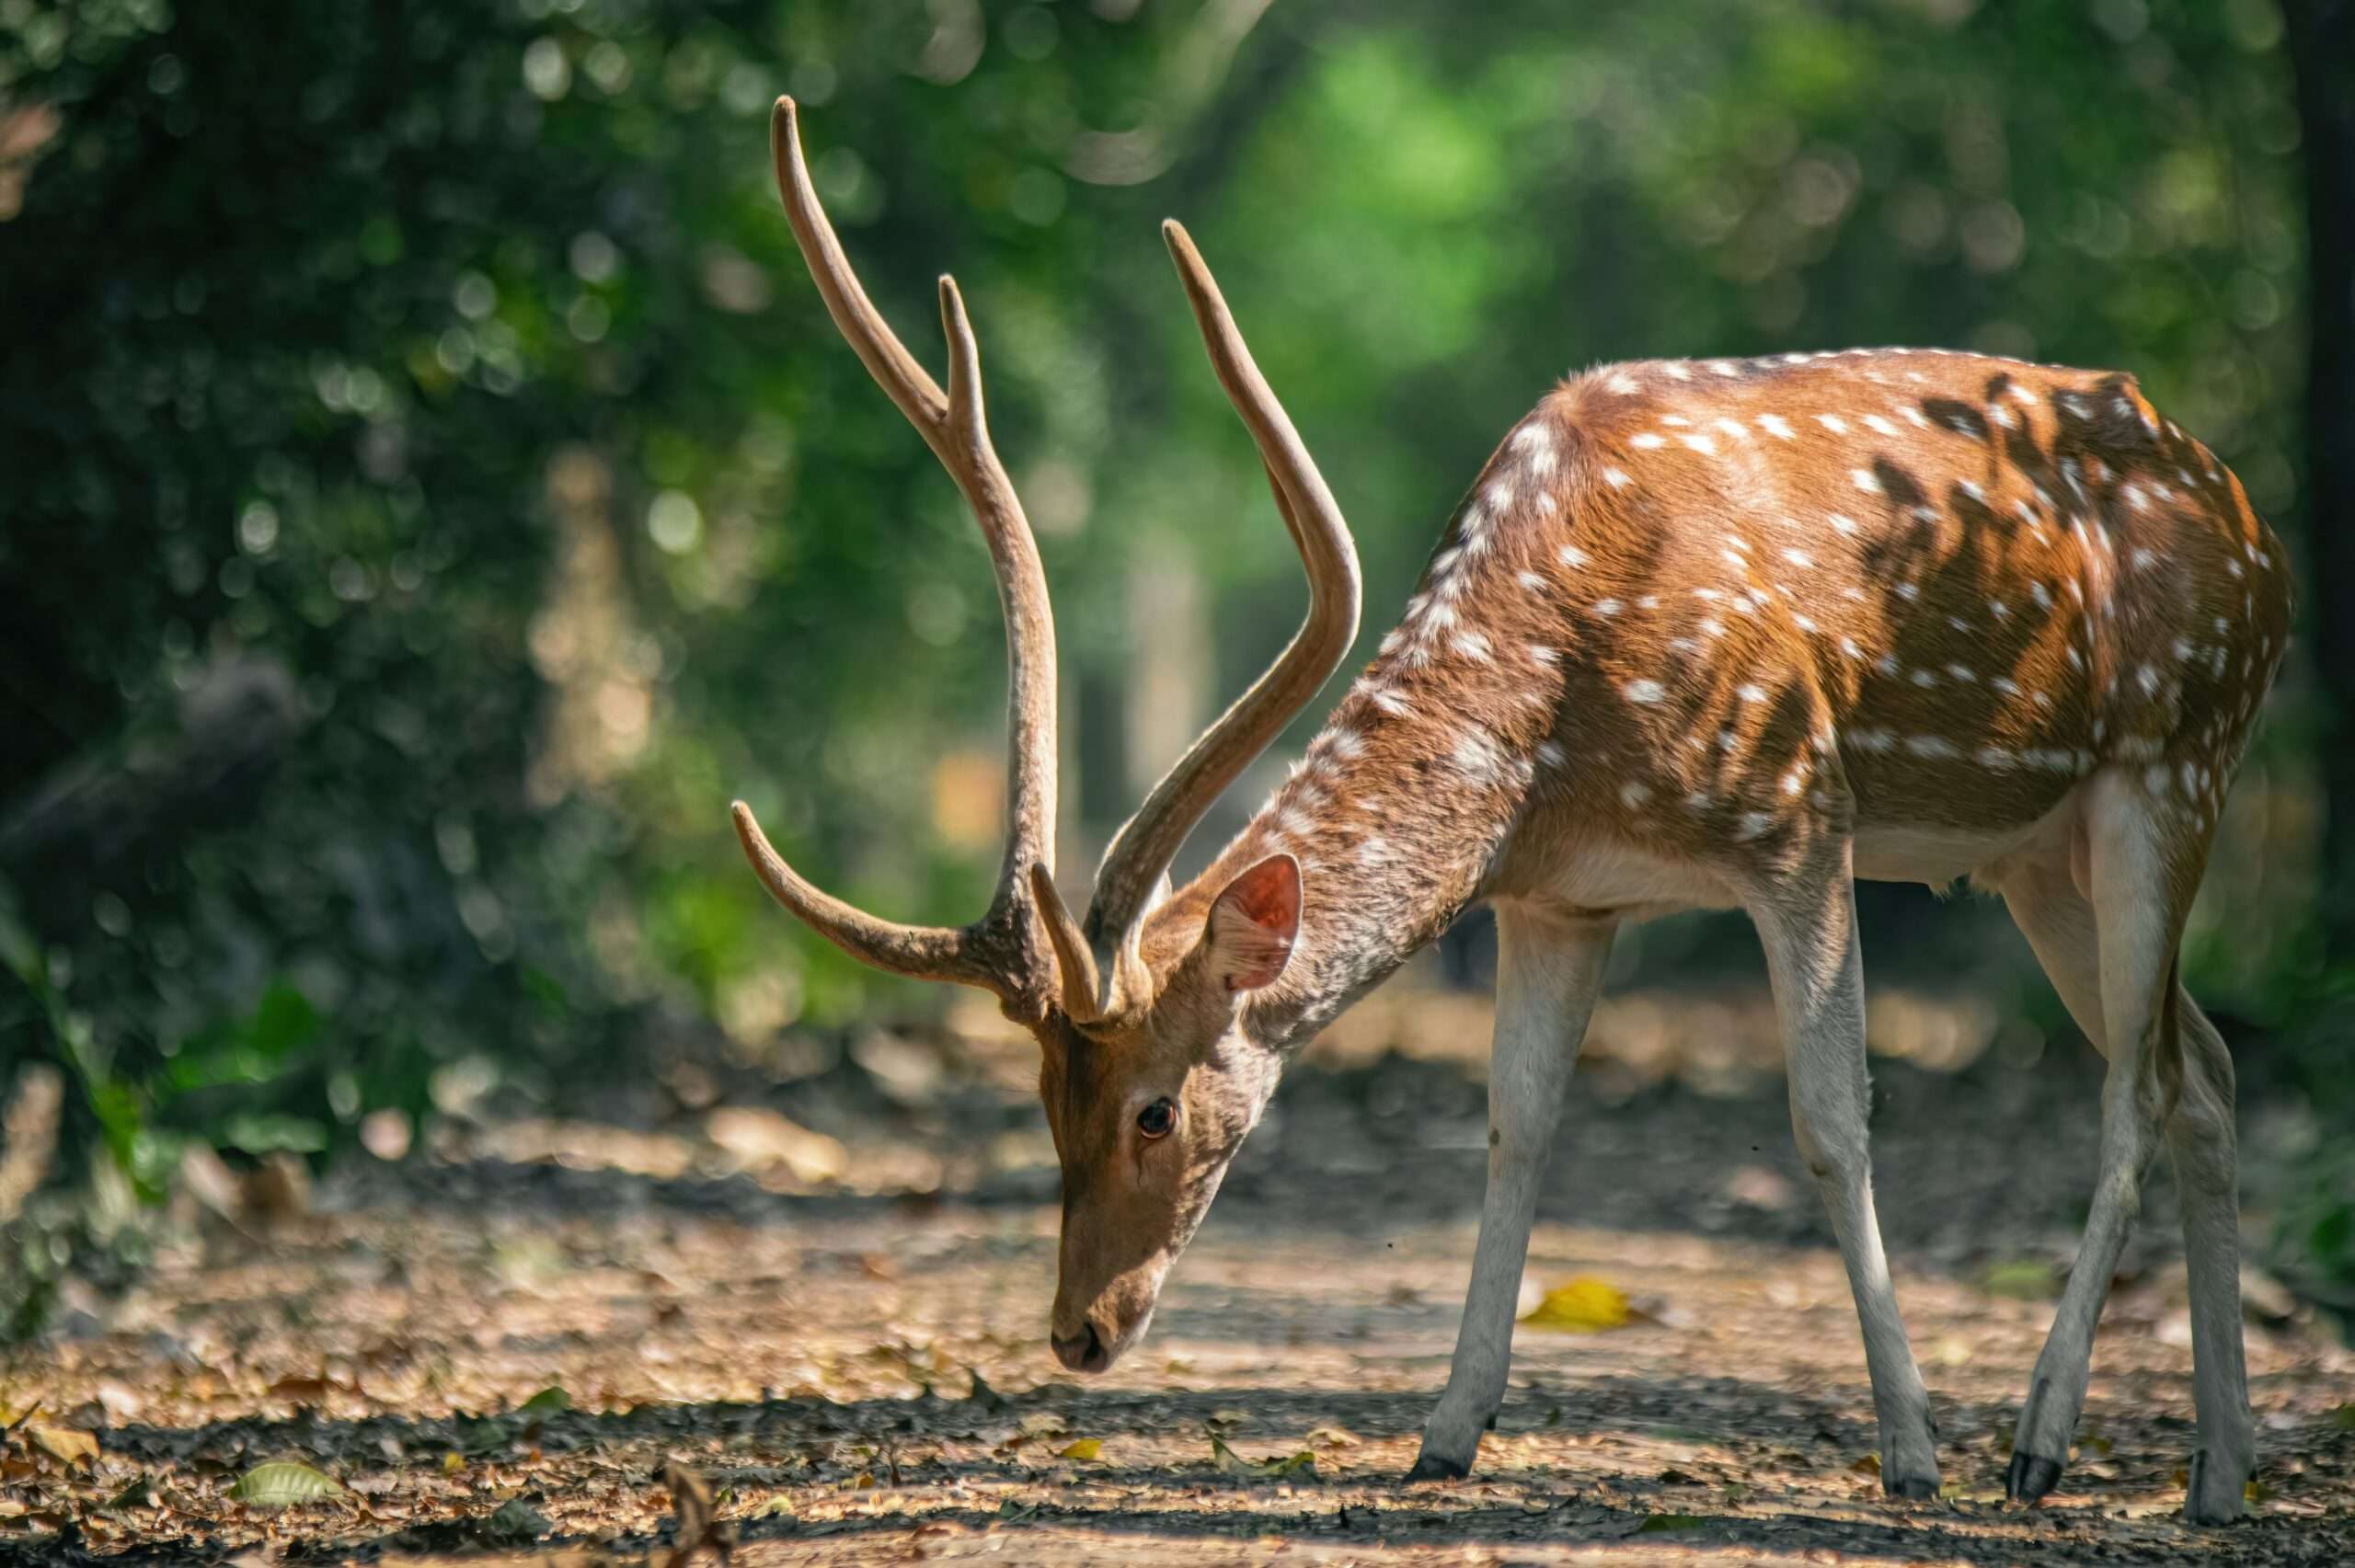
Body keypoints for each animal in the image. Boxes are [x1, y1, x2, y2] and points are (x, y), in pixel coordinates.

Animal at [743, 97, 2289, 1516]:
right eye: (1041, 1099)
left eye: (1153, 1110)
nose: (1077, 1332)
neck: (1552, 721)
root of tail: (2258, 532)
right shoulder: (1561, 896)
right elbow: (1518, 1125)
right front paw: (1447, 1431)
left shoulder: (1796, 810)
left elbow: (1831, 1120)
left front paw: (1907, 1451)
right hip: (2036, 853)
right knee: (2205, 1067)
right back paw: (2219, 1474)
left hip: (2176, 756)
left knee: (2138, 1085)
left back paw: (2036, 1444)